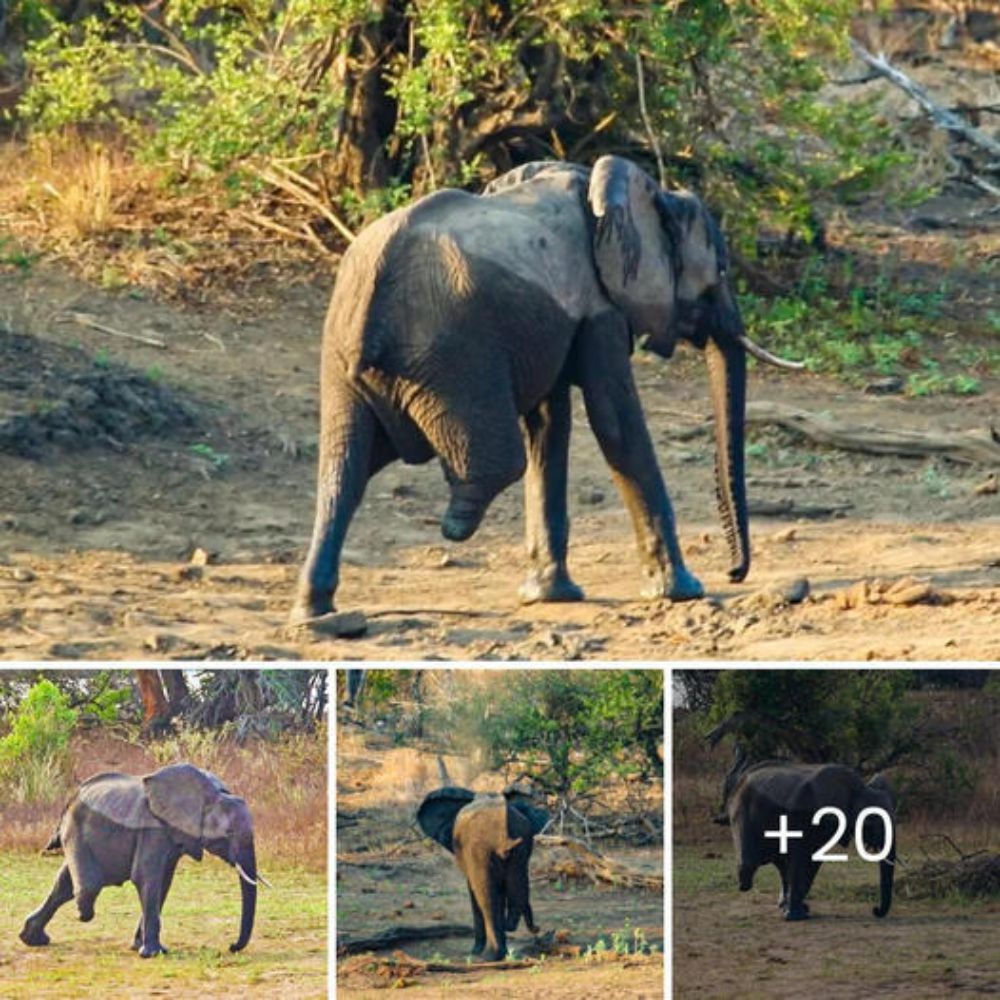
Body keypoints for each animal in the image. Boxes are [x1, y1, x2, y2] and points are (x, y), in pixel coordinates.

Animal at [21, 760, 264, 956]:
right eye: (229, 833)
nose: (231, 946)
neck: (210, 794)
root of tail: (71, 798)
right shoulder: (152, 829)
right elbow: (147, 879)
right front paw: (152, 953)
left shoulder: (172, 835)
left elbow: (163, 883)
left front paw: (142, 947)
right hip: (75, 830)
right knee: (86, 885)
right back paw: (82, 913)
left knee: (63, 886)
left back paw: (32, 939)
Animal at [288, 152, 796, 620]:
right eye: (722, 271)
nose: (734, 572)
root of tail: (372, 290)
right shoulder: (600, 310)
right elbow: (614, 424)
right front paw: (682, 591)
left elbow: (550, 426)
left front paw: (549, 596)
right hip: (454, 352)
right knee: (496, 461)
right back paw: (455, 524)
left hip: (344, 360)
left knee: (343, 469)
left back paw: (315, 613)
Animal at [418, 788, 552, 960]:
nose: (539, 929)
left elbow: (476, 892)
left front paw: (474, 951)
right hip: (519, 848)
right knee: (513, 885)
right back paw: (499, 952)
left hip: (480, 850)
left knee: (487, 898)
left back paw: (490, 955)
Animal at [724, 764, 896, 920]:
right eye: (872, 822)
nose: (875, 910)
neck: (857, 789)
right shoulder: (803, 818)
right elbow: (799, 859)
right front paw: (795, 916)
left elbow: (813, 860)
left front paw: (801, 910)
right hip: (742, 812)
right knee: (749, 863)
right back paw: (747, 885)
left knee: (780, 864)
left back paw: (782, 904)